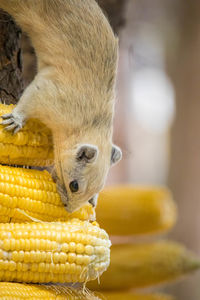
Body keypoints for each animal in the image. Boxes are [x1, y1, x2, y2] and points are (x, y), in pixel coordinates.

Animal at [0, 0, 122, 212]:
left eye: (97, 189)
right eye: (74, 186)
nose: (68, 209)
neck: (92, 121)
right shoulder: (49, 93)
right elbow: (28, 101)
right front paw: (15, 119)